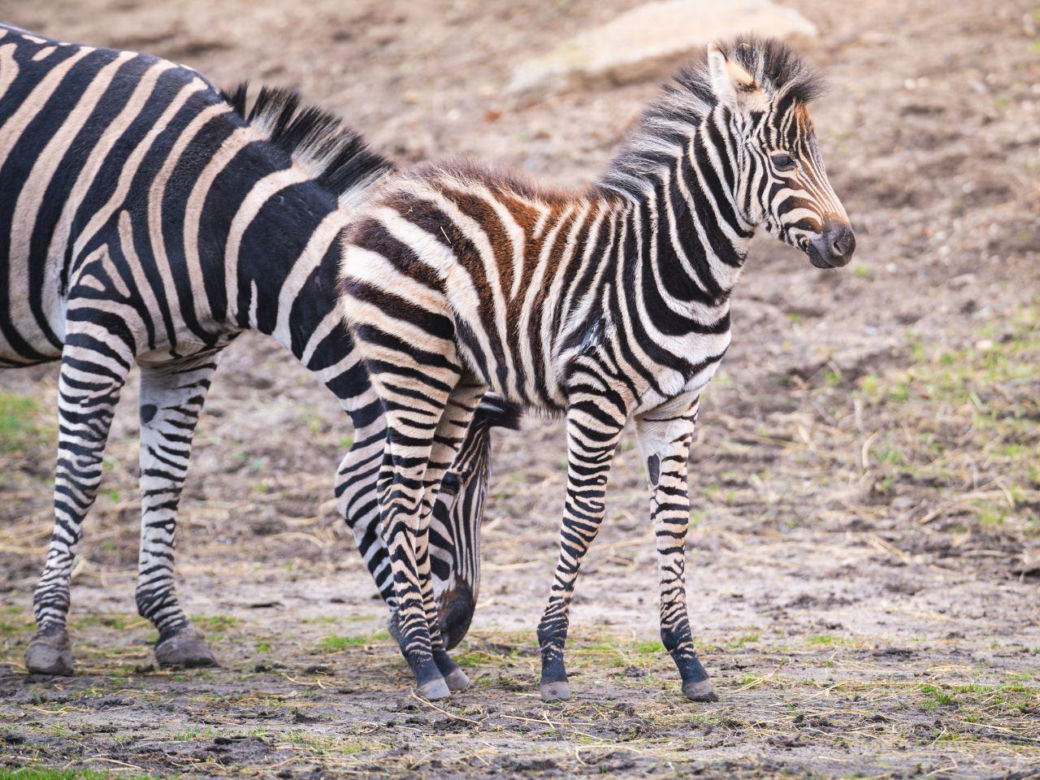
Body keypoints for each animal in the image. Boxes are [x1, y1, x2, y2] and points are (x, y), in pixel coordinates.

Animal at [0, 22, 516, 683]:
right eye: (448, 484)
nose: (455, 628)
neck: (220, 221)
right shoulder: (99, 323)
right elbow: (80, 475)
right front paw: (50, 634)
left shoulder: (186, 356)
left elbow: (166, 477)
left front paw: (173, 627)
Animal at [339, 37, 855, 702]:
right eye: (784, 162)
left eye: (818, 158)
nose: (844, 244)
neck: (682, 269)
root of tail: (393, 192)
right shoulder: (597, 398)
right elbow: (584, 519)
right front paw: (553, 662)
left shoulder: (677, 406)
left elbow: (674, 520)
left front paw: (689, 664)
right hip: (411, 365)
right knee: (395, 493)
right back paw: (424, 665)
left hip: (458, 381)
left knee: (420, 493)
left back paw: (438, 656)